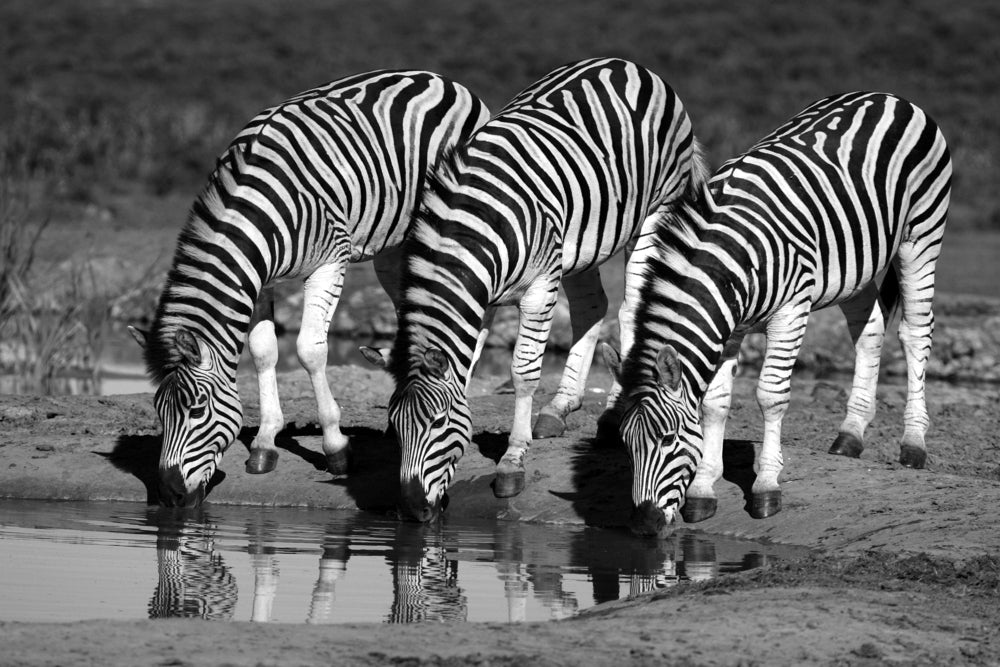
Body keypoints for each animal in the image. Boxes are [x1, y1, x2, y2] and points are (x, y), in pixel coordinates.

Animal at [128, 70, 489, 507]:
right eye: (158, 411)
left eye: (197, 411)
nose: (170, 496)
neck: (256, 205)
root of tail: (438, 77)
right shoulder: (259, 278)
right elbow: (263, 351)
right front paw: (265, 442)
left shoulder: (330, 261)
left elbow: (308, 350)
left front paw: (336, 448)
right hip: (395, 248)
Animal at [362, 57, 706, 521]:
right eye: (395, 426)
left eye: (436, 423)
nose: (413, 511)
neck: (475, 226)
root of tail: (625, 63)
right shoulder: (483, 295)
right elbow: (469, 367)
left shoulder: (540, 285)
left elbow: (522, 372)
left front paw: (512, 461)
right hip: (582, 240)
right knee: (591, 307)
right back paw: (559, 408)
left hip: (655, 211)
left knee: (632, 308)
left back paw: (614, 413)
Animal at [601, 91, 952, 536]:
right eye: (626, 442)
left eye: (667, 439)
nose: (643, 526)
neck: (730, 258)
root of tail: (888, 96)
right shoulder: (729, 327)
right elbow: (715, 403)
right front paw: (703, 491)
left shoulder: (791, 311)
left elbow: (770, 396)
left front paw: (766, 487)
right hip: (853, 266)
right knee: (869, 330)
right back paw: (850, 434)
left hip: (922, 236)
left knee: (916, 332)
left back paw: (913, 443)